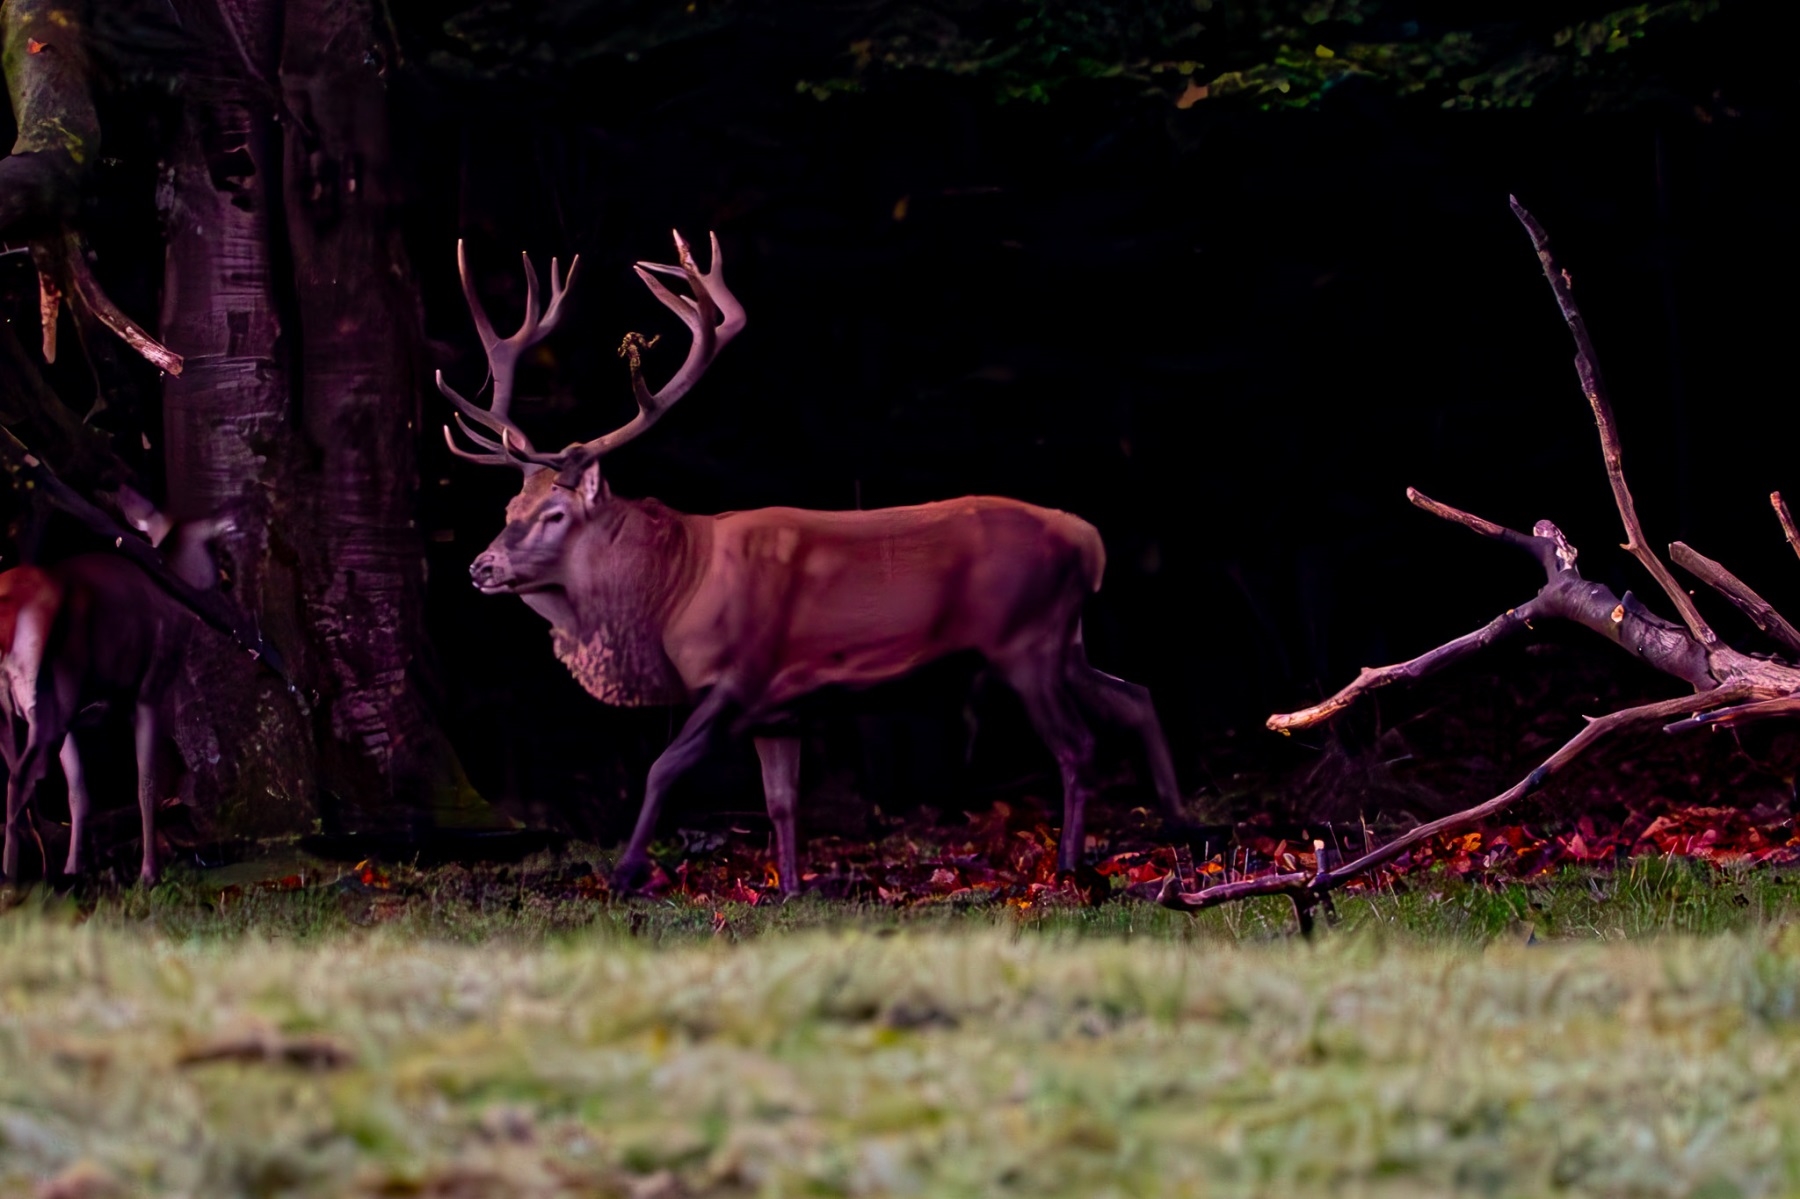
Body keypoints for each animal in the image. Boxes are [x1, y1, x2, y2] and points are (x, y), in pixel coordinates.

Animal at [0, 489, 234, 885]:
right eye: (210, 542)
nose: (225, 578)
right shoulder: (149, 690)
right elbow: (147, 783)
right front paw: (149, 873)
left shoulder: (80, 716)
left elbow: (79, 795)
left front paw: (75, 868)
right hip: (51, 691)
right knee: (21, 780)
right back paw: (13, 878)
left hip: (19, 709)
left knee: (19, 783)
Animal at [440, 232, 1185, 894]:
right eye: (511, 502)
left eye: (555, 514)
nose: (480, 567)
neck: (674, 592)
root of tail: (1088, 539)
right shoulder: (781, 706)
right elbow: (780, 800)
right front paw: (791, 887)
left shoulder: (739, 673)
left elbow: (663, 768)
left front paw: (625, 873)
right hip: (1061, 636)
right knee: (1136, 694)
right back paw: (1179, 826)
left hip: (1023, 638)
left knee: (1077, 745)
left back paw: (1071, 865)